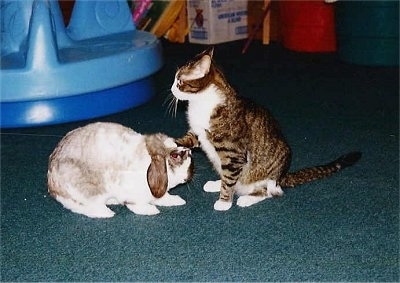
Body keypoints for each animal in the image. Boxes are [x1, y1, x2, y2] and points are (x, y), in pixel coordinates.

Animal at [48, 122, 194, 220]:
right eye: (175, 156)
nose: (191, 152)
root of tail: (52, 185)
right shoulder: (133, 194)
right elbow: (136, 205)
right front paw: (150, 210)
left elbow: (164, 198)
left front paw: (177, 200)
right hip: (88, 192)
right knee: (85, 207)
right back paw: (107, 213)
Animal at [170, 47, 360, 212]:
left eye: (179, 81)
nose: (171, 89)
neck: (201, 102)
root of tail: (282, 177)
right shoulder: (199, 132)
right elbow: (191, 138)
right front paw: (173, 142)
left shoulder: (233, 154)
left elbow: (230, 178)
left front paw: (224, 201)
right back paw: (217, 183)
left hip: (267, 176)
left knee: (269, 192)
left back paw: (246, 198)